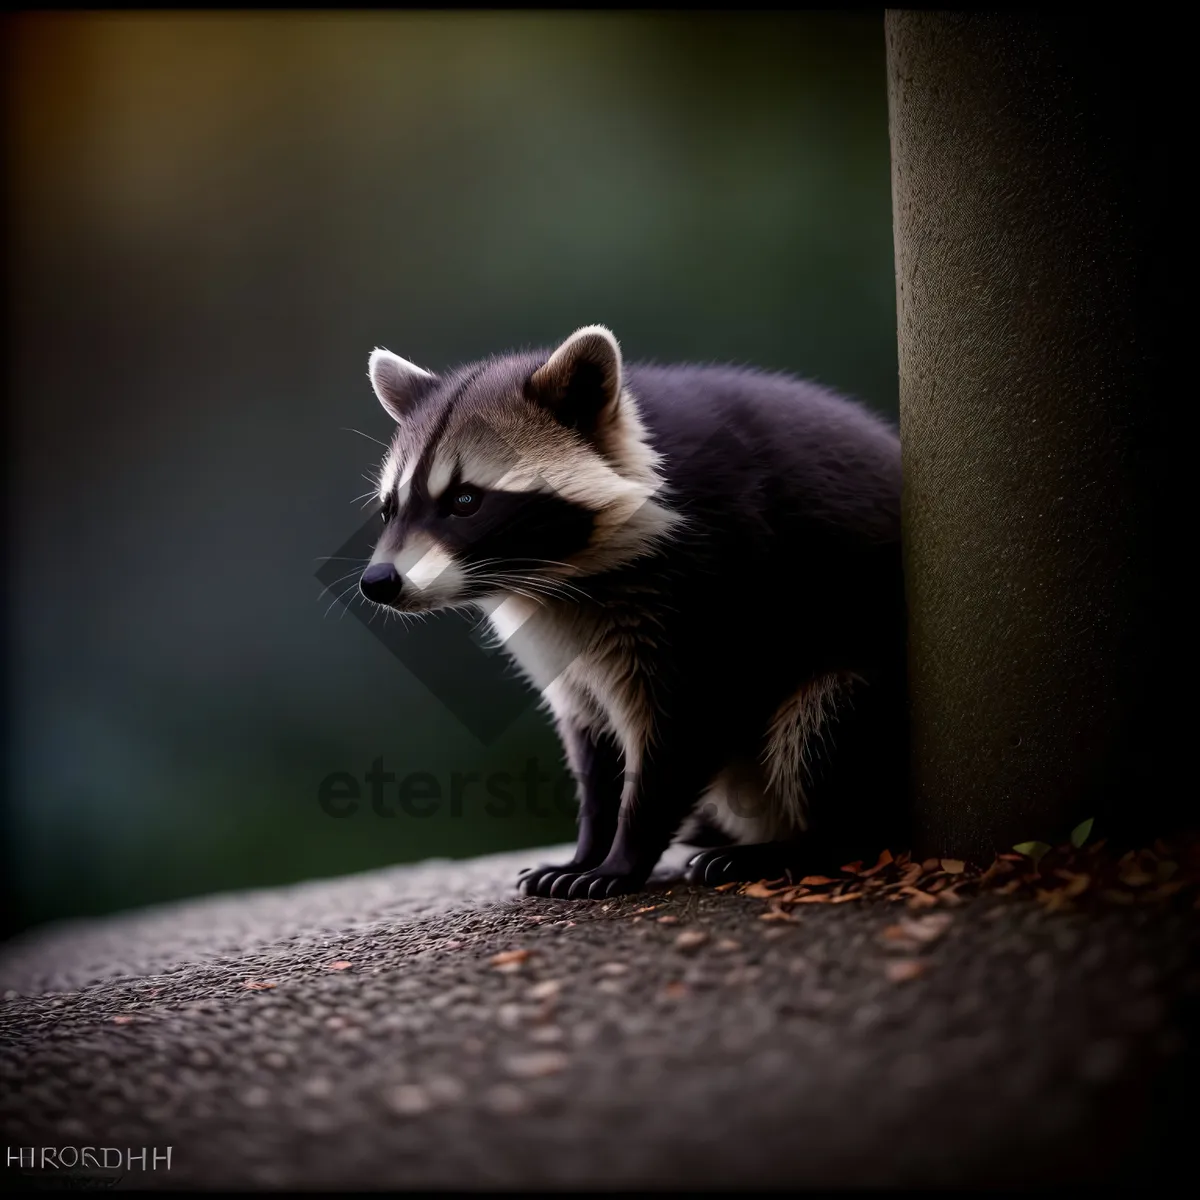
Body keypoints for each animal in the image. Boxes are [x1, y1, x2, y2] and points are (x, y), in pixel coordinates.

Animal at [360, 324, 902, 897]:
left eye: (465, 501)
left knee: (828, 718)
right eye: (389, 508)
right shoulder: (560, 644)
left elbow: (688, 726)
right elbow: (593, 742)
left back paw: (812, 843)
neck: (556, 575)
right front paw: (589, 846)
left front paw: (626, 853)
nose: (379, 583)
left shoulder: (711, 582)